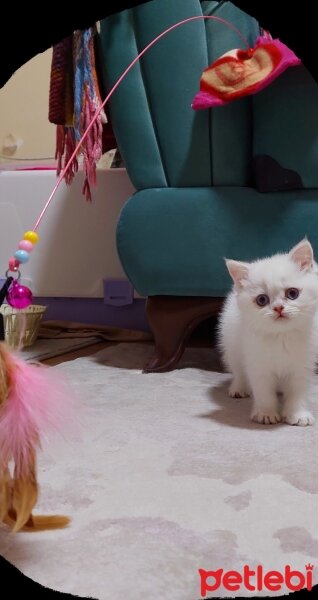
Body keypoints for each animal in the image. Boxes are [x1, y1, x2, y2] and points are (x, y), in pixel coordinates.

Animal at [217, 239, 318, 426]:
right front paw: (266, 413)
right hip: (231, 343)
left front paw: (298, 414)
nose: (278, 308)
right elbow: (263, 391)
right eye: (262, 300)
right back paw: (239, 388)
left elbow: (298, 391)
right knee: (238, 369)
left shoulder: (303, 364)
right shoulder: (257, 364)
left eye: (292, 293)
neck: (282, 336)